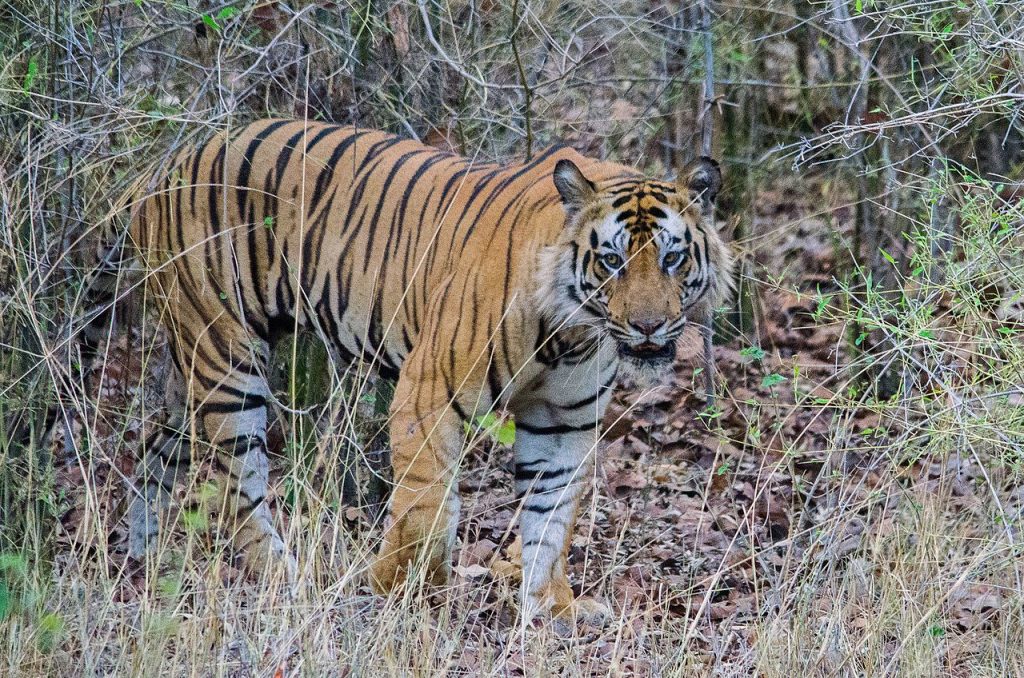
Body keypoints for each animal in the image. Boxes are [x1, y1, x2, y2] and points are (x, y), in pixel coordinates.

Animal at [64, 119, 733, 622]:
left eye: (672, 259)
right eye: (613, 261)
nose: (648, 326)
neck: (572, 333)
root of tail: (163, 166)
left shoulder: (563, 422)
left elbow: (552, 518)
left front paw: (551, 606)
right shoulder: (428, 389)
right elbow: (425, 502)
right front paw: (399, 590)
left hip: (192, 369)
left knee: (153, 452)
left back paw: (144, 563)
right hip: (226, 358)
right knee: (238, 487)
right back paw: (286, 577)